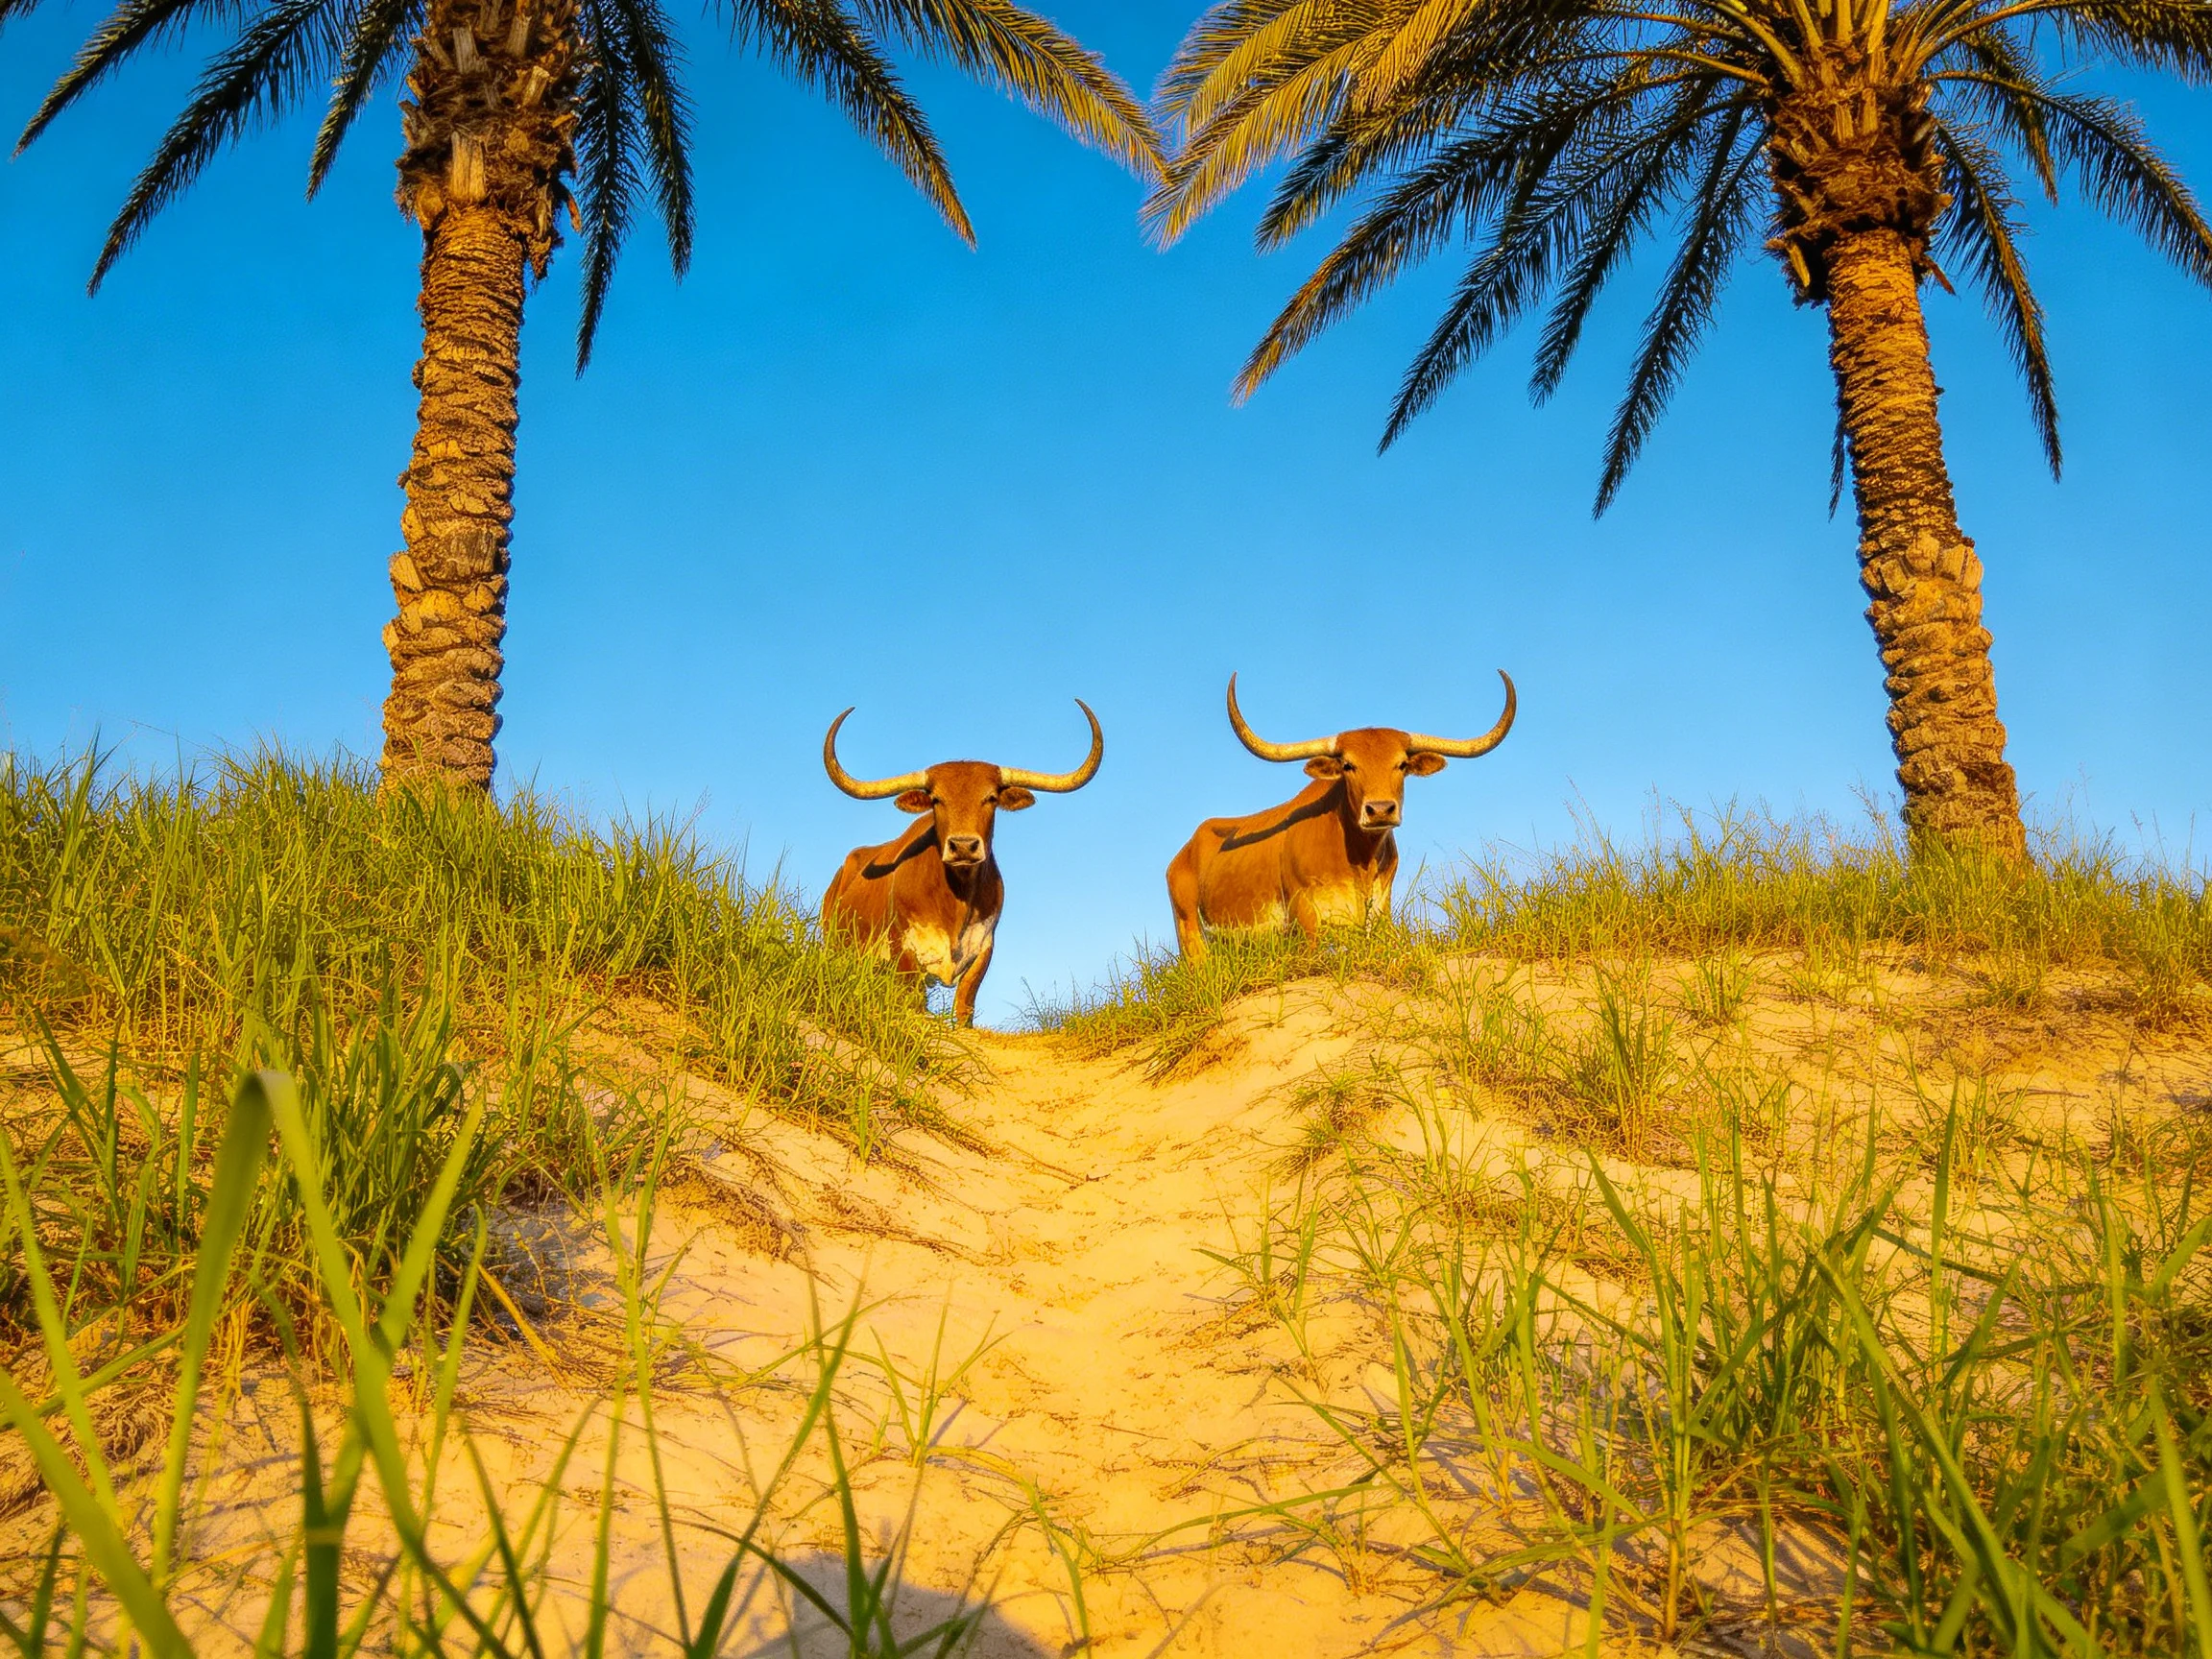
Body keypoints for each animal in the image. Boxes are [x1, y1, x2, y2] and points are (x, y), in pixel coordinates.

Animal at [821, 700, 1103, 1025]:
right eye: (936, 799)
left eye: (991, 798)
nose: (964, 846)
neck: (955, 901)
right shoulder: (904, 952)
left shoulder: (983, 948)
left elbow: (965, 1006)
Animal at [1167, 672, 1516, 956]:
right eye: (1348, 765)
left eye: (1402, 764)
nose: (1380, 810)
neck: (1359, 859)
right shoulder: (1306, 922)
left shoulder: (1381, 914)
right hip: (1190, 934)